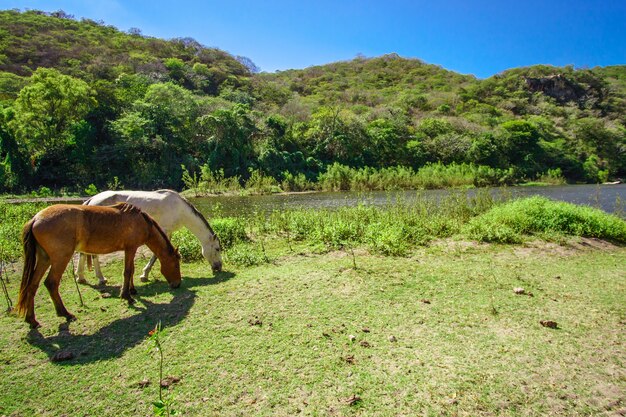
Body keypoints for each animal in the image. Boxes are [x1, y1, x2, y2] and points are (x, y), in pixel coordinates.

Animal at [15, 202, 180, 328]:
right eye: (176, 264)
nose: (177, 284)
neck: (142, 221)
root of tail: (35, 219)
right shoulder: (131, 248)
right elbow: (127, 271)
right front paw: (127, 296)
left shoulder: (130, 250)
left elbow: (131, 271)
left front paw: (132, 290)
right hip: (60, 259)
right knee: (51, 283)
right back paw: (65, 314)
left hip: (44, 259)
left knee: (32, 285)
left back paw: (32, 320)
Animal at [77, 189, 222, 282]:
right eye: (217, 249)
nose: (219, 267)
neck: (180, 209)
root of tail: (91, 199)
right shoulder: (164, 230)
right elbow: (156, 254)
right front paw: (144, 275)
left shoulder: (169, 231)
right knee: (93, 254)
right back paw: (101, 278)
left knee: (83, 253)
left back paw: (81, 277)